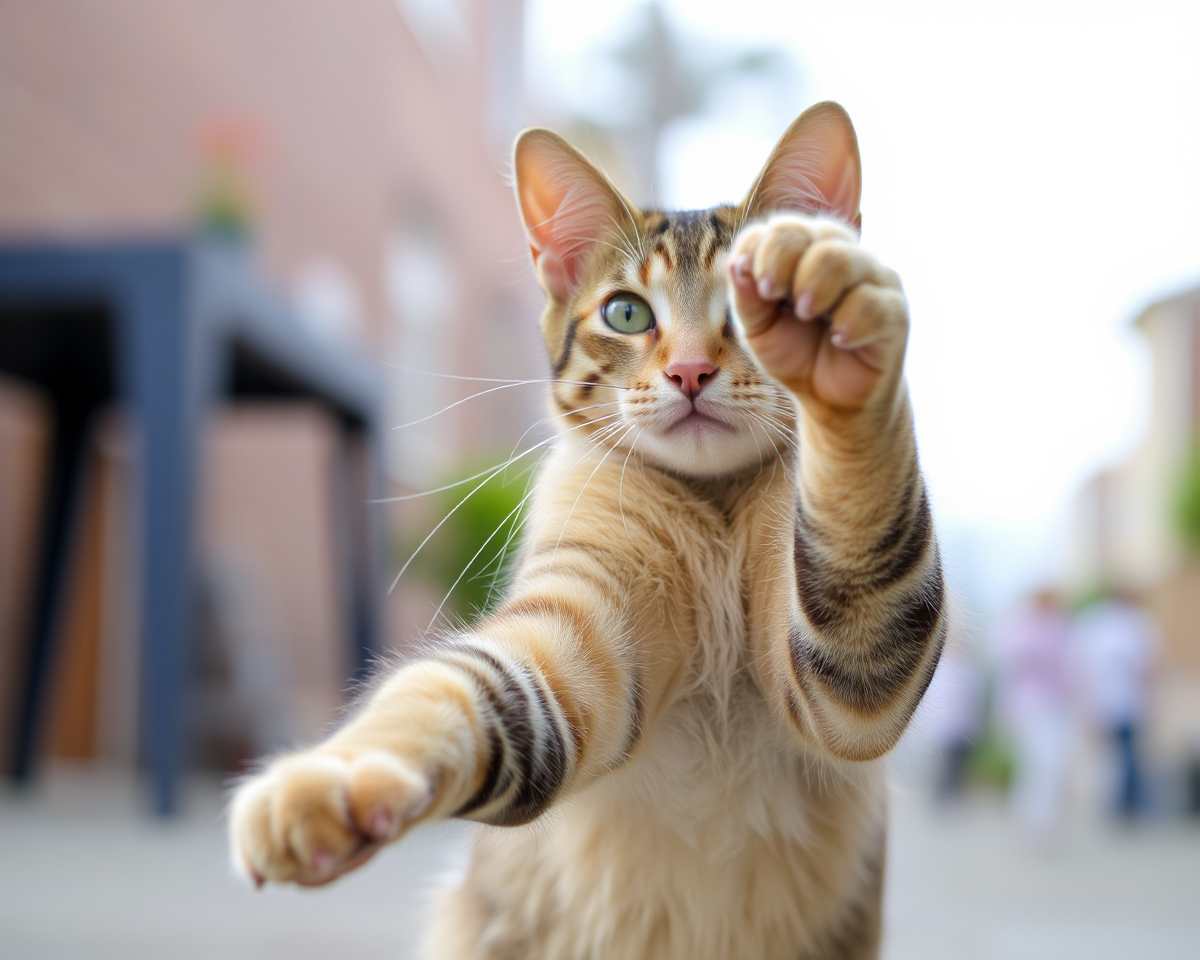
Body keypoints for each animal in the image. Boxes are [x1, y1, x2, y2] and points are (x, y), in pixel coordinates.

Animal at [226, 101, 945, 955]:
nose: (690, 372)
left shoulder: (851, 677)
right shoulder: (572, 632)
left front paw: (831, 330)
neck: (712, 512)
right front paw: (329, 781)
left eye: (743, 310)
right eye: (627, 313)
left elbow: (862, 522)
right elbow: (456, 688)